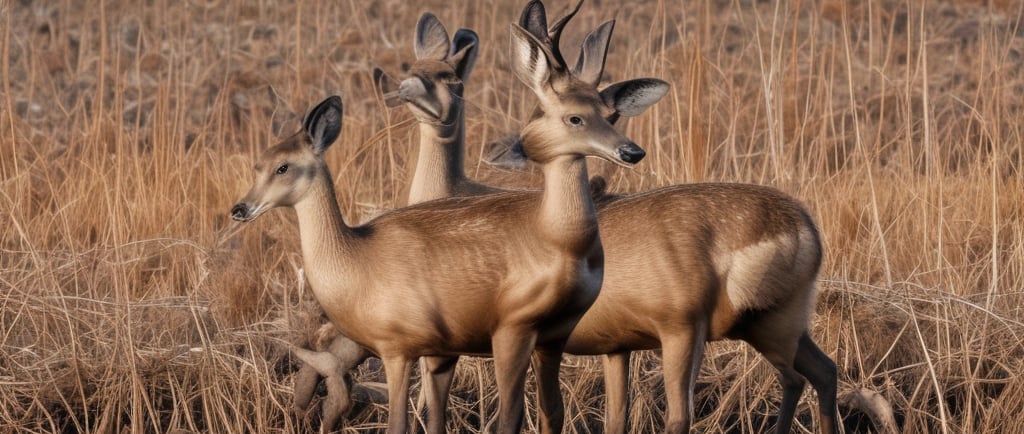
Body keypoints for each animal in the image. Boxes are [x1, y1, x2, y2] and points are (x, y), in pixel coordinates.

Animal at [229, 18, 649, 431]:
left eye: (284, 167)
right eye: (258, 164)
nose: (240, 208)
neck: (354, 254)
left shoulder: (398, 352)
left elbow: (400, 421)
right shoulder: (440, 354)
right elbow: (435, 416)